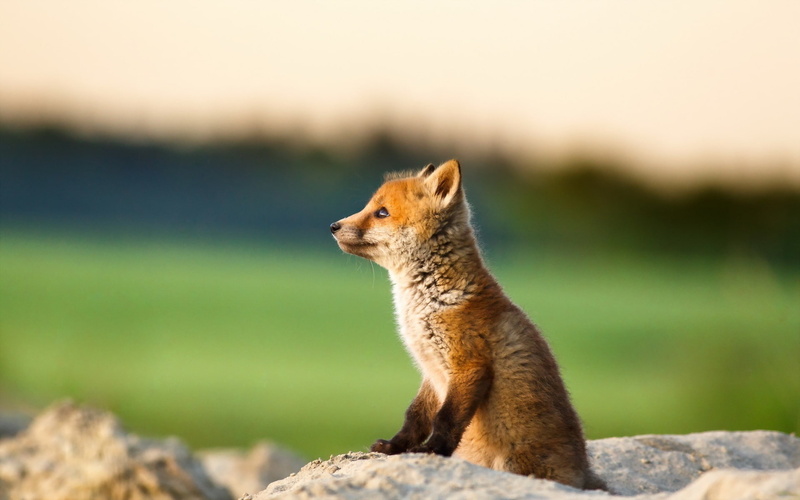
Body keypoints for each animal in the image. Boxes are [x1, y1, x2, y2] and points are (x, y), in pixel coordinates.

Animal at [329, 160, 606, 490]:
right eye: (370, 207)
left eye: (381, 212)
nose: (333, 226)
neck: (429, 303)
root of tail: (583, 474)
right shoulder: (430, 370)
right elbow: (415, 416)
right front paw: (396, 447)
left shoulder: (469, 365)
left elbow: (446, 419)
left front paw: (434, 451)